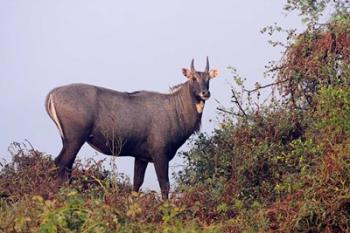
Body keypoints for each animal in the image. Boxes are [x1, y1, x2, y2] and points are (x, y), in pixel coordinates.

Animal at [45, 58, 217, 198]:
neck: (176, 110)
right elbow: (164, 185)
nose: (205, 93)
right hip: (75, 139)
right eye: (193, 78)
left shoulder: (141, 157)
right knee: (61, 163)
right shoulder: (160, 154)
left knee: (66, 166)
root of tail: (51, 94)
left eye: (208, 78)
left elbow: (136, 185)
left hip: (68, 139)